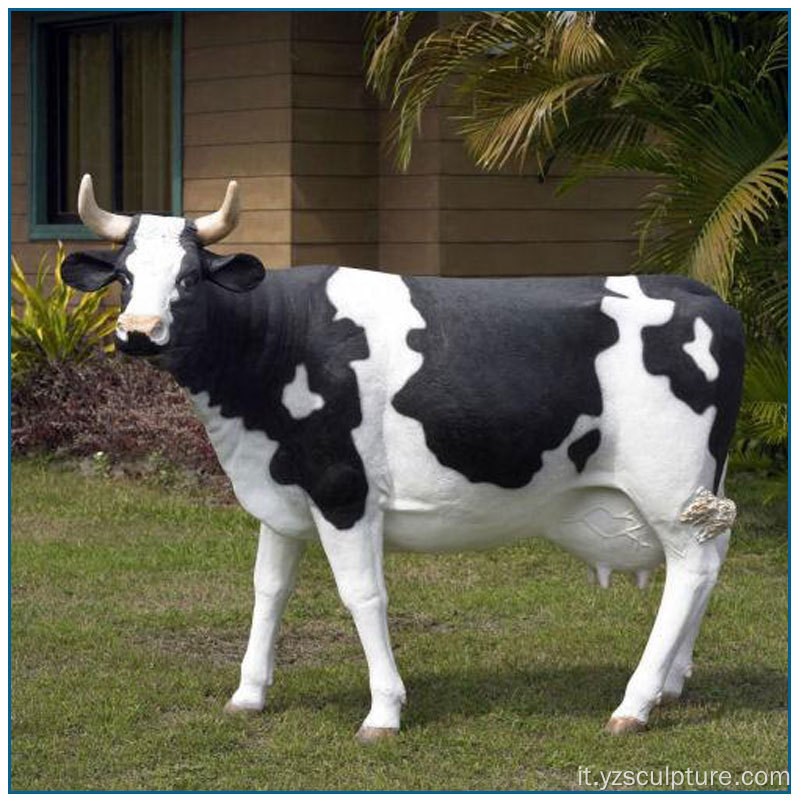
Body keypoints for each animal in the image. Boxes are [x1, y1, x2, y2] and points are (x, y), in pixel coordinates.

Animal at [62, 175, 744, 736]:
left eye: (187, 277)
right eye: (125, 276)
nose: (139, 332)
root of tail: (703, 293)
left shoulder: (343, 489)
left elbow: (363, 595)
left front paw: (383, 711)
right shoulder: (282, 488)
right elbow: (268, 589)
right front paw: (249, 694)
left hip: (670, 489)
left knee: (689, 572)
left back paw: (635, 703)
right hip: (703, 489)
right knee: (711, 564)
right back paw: (672, 684)